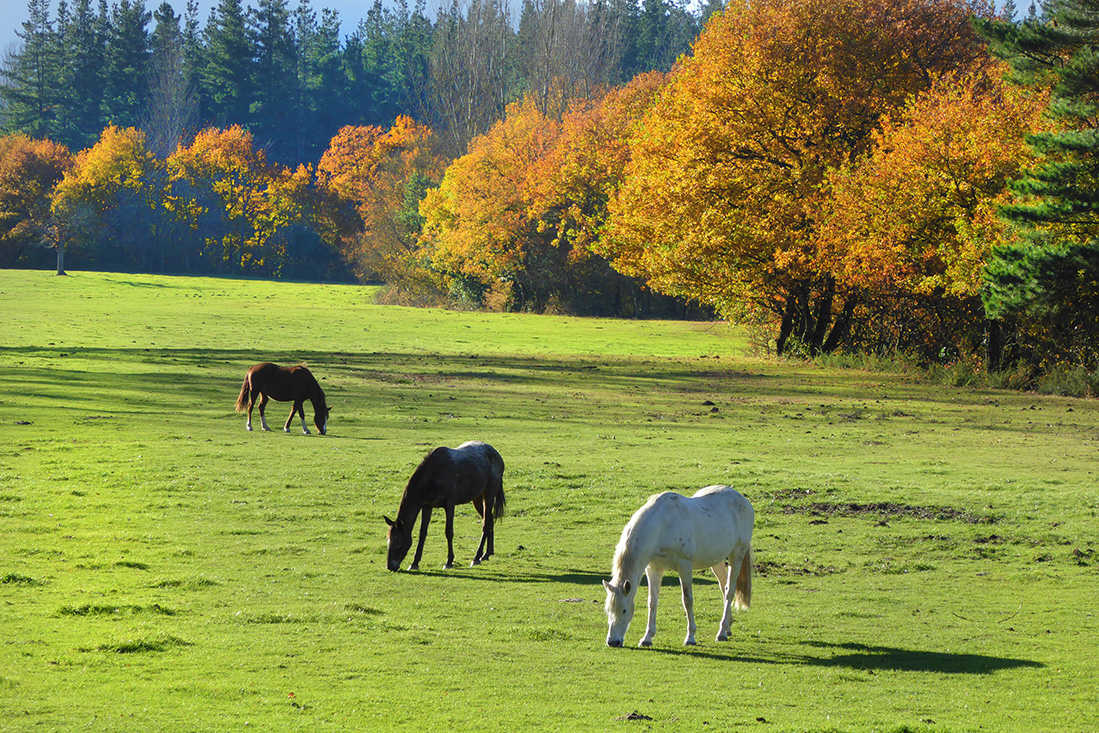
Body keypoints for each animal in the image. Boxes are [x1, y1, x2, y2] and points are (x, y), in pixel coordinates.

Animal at [384, 441, 503, 571]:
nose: (390, 566)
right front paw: (415, 563)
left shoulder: (449, 505)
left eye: (398, 543)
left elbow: (448, 532)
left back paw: (476, 557)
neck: (433, 475)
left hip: (489, 495)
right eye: (388, 541)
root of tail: (497, 455)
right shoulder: (427, 506)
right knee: (489, 520)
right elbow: (422, 534)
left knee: (486, 524)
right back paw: (487, 553)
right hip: (477, 499)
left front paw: (449, 561)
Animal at [602, 487, 756, 646]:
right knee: (724, 586)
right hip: (715, 560)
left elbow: (687, 600)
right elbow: (652, 601)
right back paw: (727, 628)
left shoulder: (684, 566)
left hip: (736, 555)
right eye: (608, 610)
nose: (612, 642)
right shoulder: (653, 569)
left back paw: (721, 633)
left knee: (730, 591)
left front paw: (690, 637)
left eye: (624, 610)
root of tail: (743, 500)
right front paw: (647, 637)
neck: (662, 525)